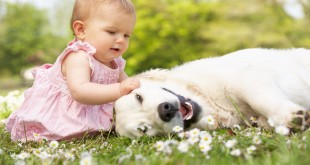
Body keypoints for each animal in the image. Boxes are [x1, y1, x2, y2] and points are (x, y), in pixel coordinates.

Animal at [115, 48, 310, 138]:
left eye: (138, 97)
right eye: (143, 129)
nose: (165, 110)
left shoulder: (243, 79)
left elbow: (259, 99)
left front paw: (289, 116)